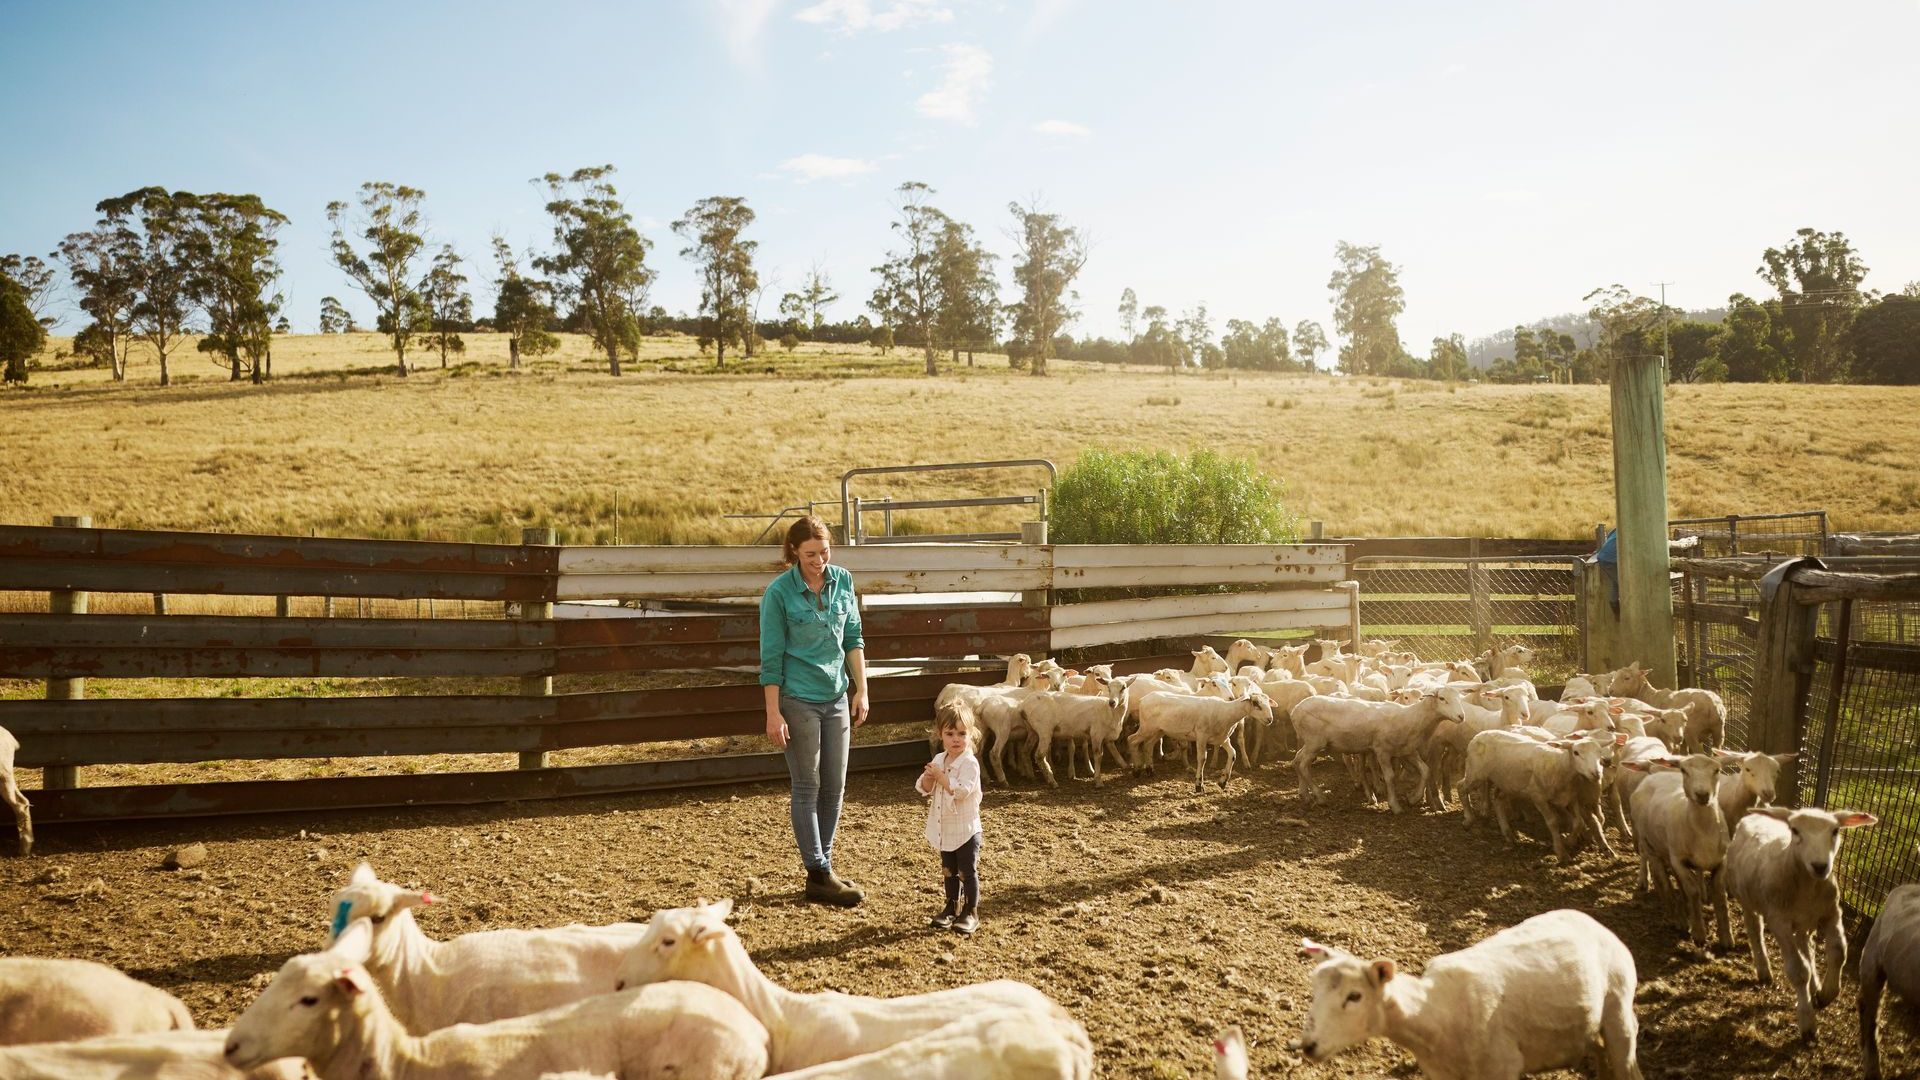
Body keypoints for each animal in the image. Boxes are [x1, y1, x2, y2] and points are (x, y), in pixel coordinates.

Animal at [1282, 907, 1643, 1076]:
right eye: (1314, 989)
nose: (1308, 1045)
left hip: (1618, 1007)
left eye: (1354, 996)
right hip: (1583, 1029)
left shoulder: (1502, 1068)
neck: (1434, 1012)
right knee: (1599, 1051)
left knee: (1626, 1063)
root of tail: (1591, 921)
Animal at [1620, 753, 1743, 945]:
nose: (1702, 795)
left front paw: (1726, 938)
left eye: (1717, 770)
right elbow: (1692, 891)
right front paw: (1699, 934)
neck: (1704, 832)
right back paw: (1678, 920)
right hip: (1651, 846)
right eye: (1684, 770)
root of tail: (1653, 777)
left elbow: (1719, 893)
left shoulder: (1721, 861)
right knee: (1663, 882)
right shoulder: (1679, 860)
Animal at [1728, 803, 1873, 1037]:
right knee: (1755, 930)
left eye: (1835, 831)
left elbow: (1838, 952)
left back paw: (1815, 984)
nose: (1820, 866)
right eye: (1795, 830)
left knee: (1807, 946)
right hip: (1748, 900)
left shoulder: (1832, 912)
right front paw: (1807, 1020)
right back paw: (1764, 970)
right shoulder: (1779, 922)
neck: (1807, 887)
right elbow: (1798, 971)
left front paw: (1827, 993)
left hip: (1805, 922)